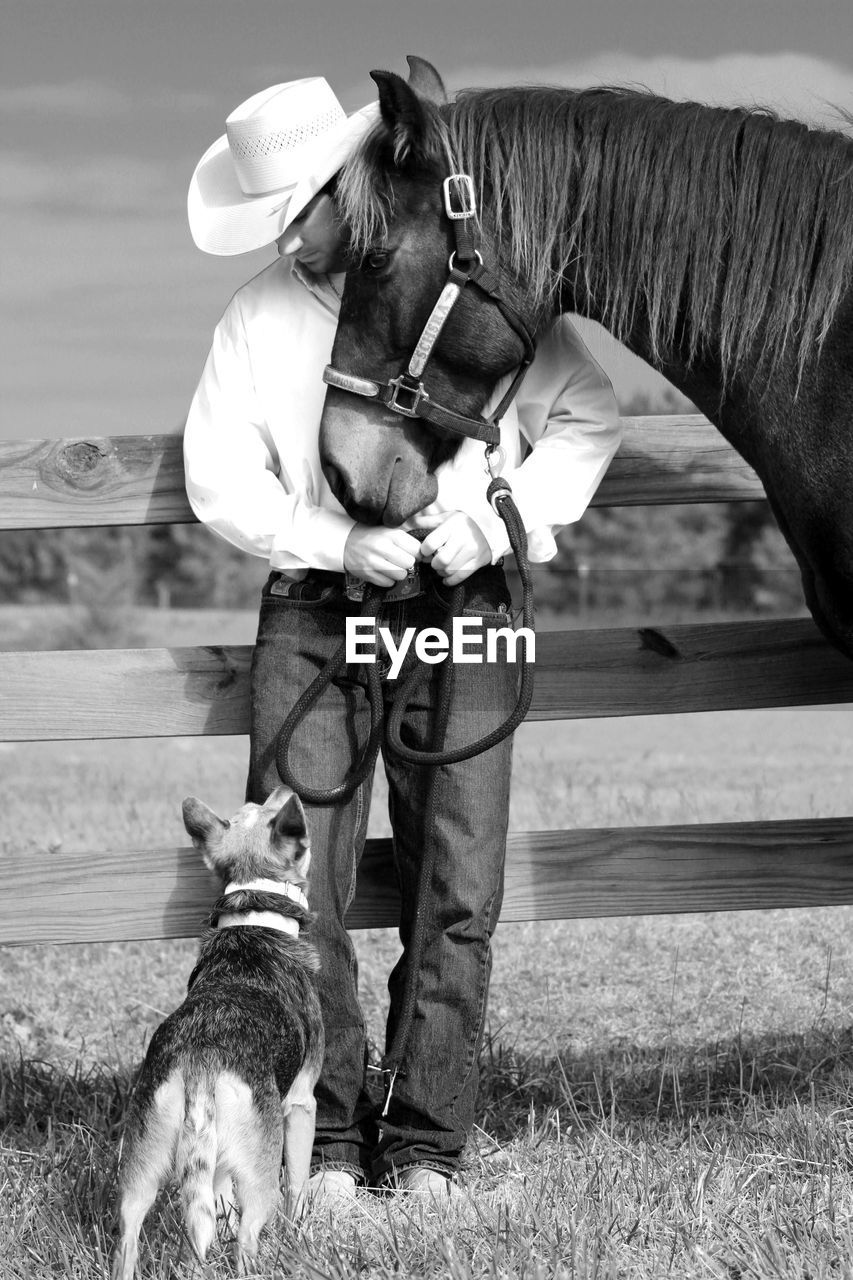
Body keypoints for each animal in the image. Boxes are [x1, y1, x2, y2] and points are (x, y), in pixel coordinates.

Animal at [112, 778, 322, 1280]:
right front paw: (301, 1234)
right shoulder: (301, 1103)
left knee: (131, 1236)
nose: (284, 784)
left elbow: (215, 1205)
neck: (255, 913)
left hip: (140, 1164)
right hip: (260, 1172)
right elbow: (298, 1187)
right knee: (247, 1239)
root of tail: (199, 1063)